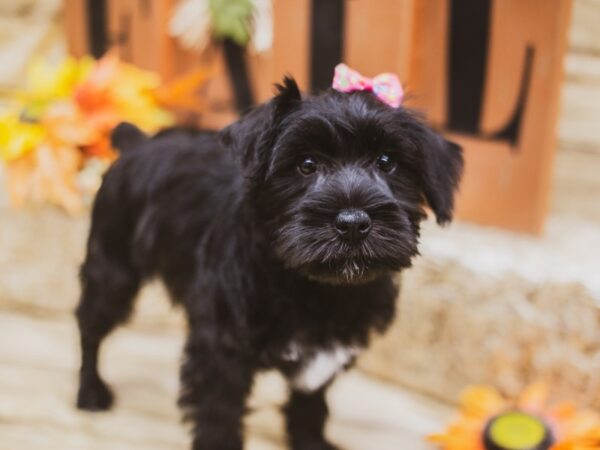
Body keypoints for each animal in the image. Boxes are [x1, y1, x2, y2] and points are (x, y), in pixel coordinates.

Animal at [75, 78, 464, 450]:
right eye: (306, 165)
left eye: (386, 162)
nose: (353, 222)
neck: (315, 287)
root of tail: (137, 143)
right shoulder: (221, 355)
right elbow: (218, 417)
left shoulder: (327, 354)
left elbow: (309, 406)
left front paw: (312, 443)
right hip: (112, 271)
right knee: (90, 328)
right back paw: (90, 391)